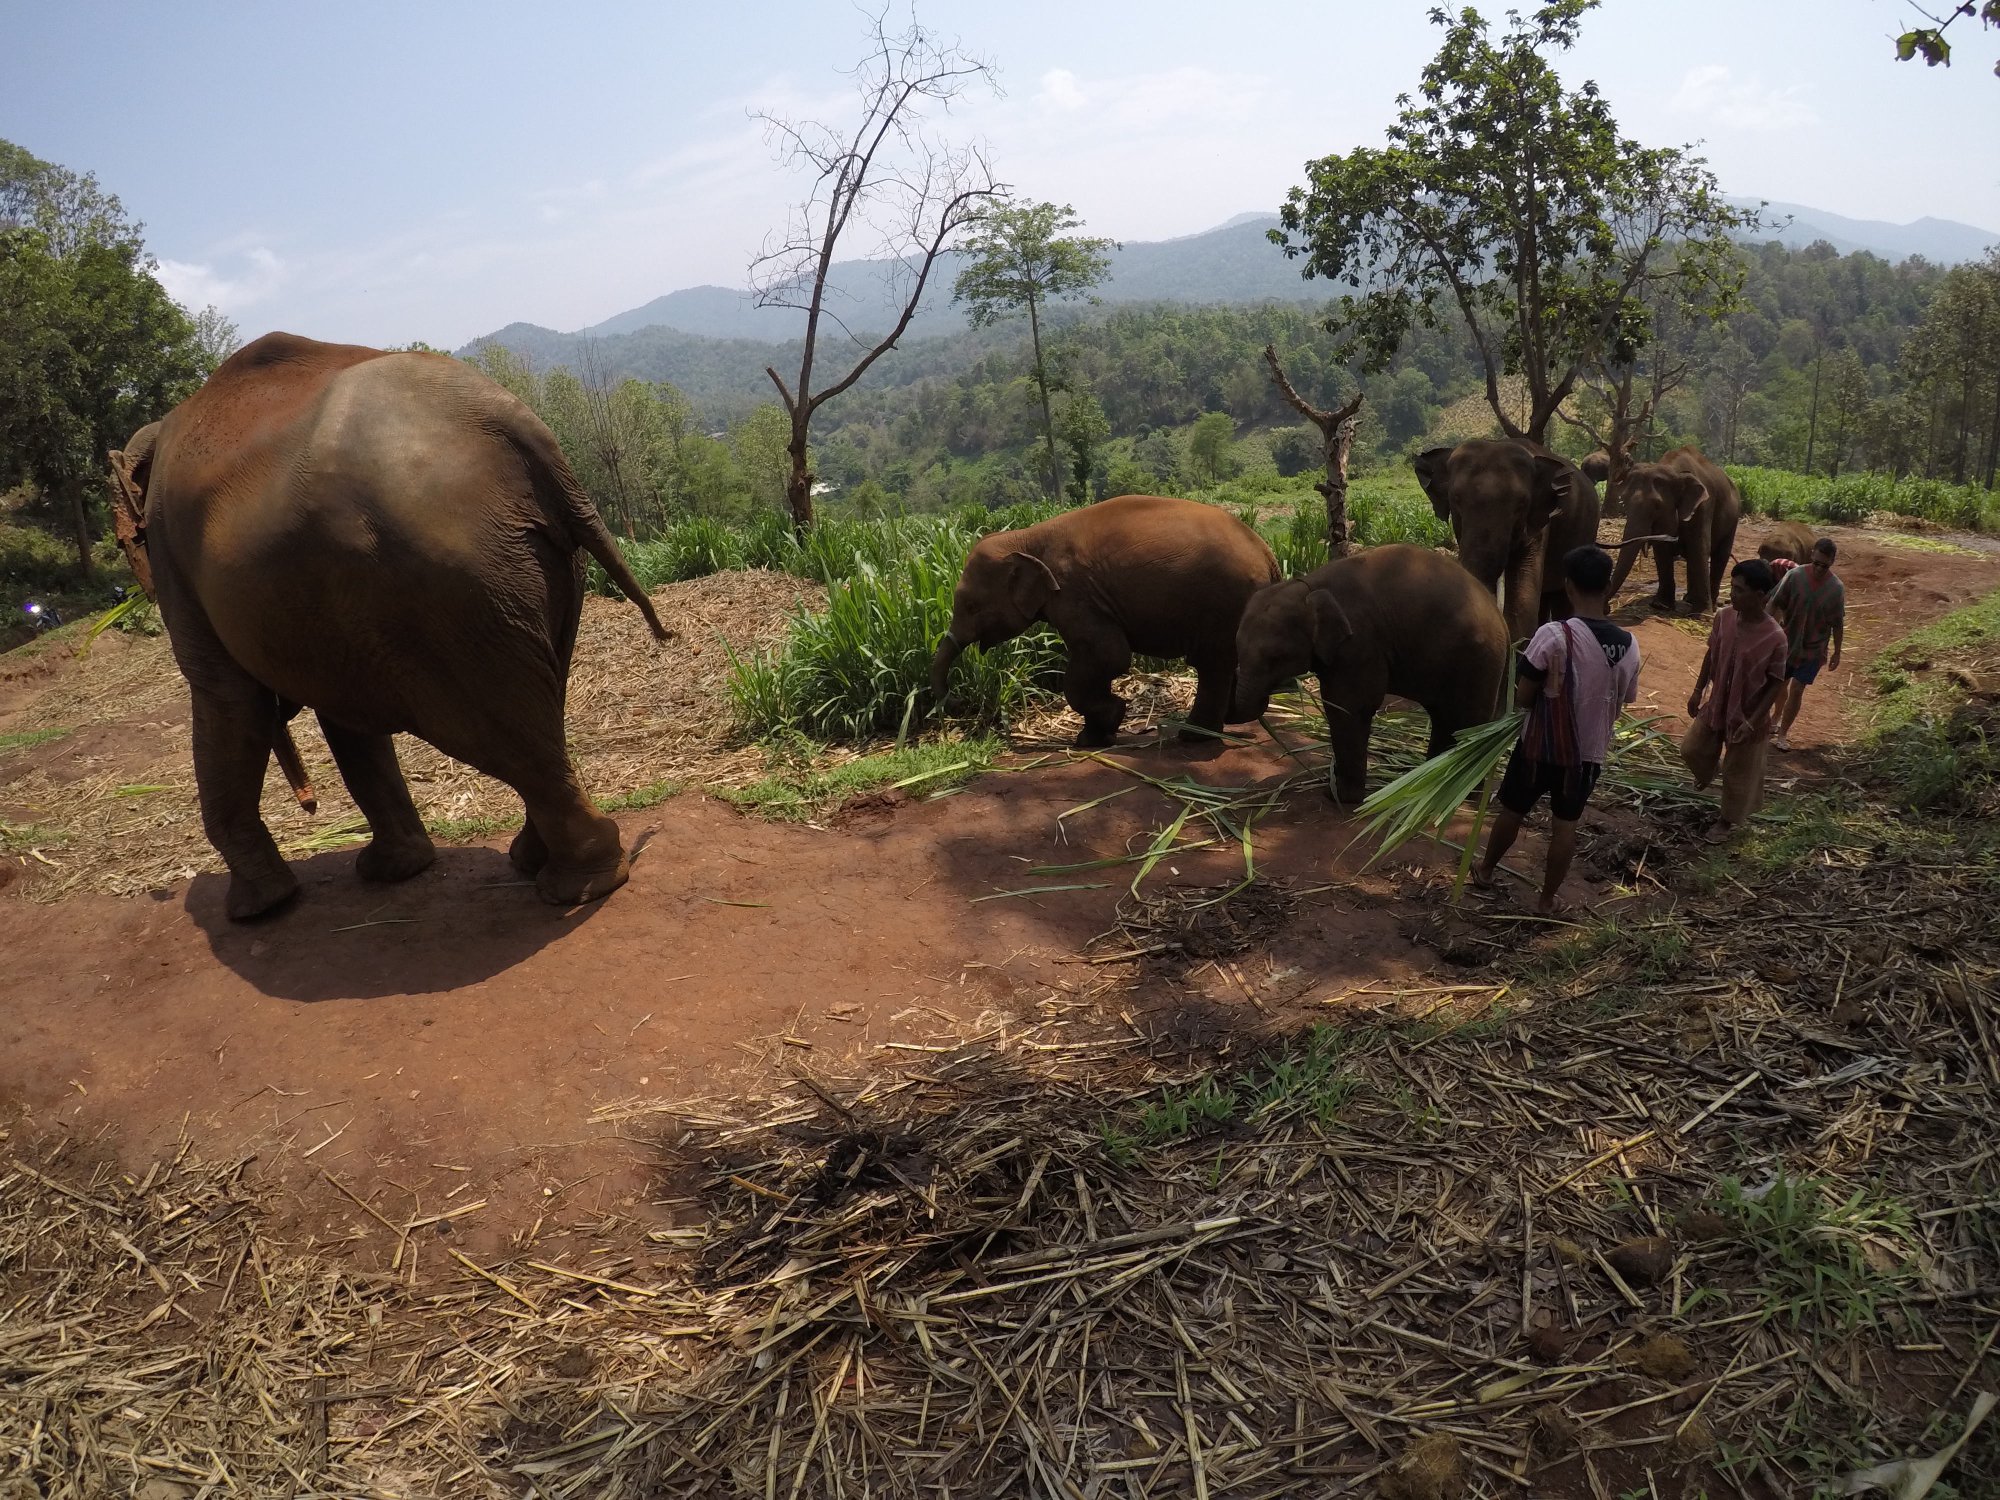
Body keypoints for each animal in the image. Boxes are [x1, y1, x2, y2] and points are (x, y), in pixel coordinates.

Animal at [105, 331, 670, 920]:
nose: (310, 807)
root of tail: (516, 423)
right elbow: (345, 720)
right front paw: (395, 870)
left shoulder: (174, 560)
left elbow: (227, 697)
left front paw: (255, 910)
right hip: (534, 567)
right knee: (540, 706)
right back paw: (537, 861)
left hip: (443, 591)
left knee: (501, 731)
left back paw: (577, 884)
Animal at [929, 494, 1280, 748]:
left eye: (971, 605)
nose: (958, 701)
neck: (1026, 537)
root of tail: (1268, 554)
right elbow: (1102, 660)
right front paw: (1099, 733)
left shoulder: (1074, 594)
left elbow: (1108, 656)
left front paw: (1101, 729)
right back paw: (1235, 717)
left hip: (1222, 603)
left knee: (1211, 663)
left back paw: (1193, 736)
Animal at [1229, 544, 1509, 806]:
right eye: (1237, 646)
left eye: (1276, 658)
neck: (1308, 587)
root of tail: (1499, 617)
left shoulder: (1360, 642)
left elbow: (1349, 707)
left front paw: (1339, 797)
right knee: (1444, 717)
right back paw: (1428, 781)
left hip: (1479, 660)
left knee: (1468, 721)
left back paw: (1465, 795)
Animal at [1604, 446, 1743, 614]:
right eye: (1624, 502)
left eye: (1657, 506)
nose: (1607, 608)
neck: (1674, 470)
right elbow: (1662, 549)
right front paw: (1660, 606)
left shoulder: (1703, 507)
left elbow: (1699, 547)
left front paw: (1701, 614)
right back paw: (1689, 599)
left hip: (1733, 519)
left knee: (1720, 555)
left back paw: (1712, 604)